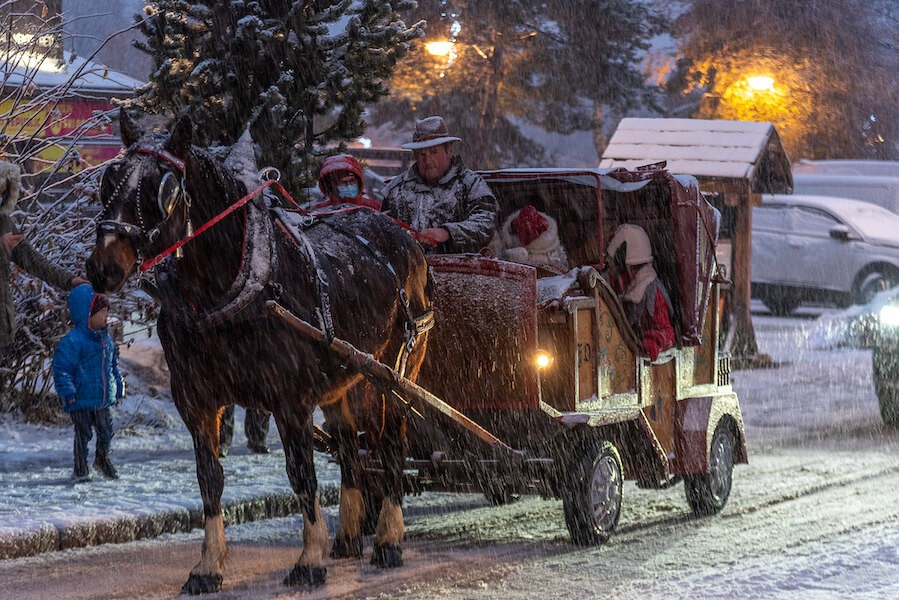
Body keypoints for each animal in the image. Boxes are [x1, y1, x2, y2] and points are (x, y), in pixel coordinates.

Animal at [85, 110, 432, 592]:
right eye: (110, 179)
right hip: (343, 381)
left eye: (164, 187)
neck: (227, 292)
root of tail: (402, 236)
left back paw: (387, 540)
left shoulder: (290, 402)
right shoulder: (195, 401)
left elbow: (301, 475)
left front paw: (309, 560)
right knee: (350, 450)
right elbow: (209, 479)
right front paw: (208, 566)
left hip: (395, 373)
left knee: (390, 444)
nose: (103, 268)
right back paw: (347, 537)